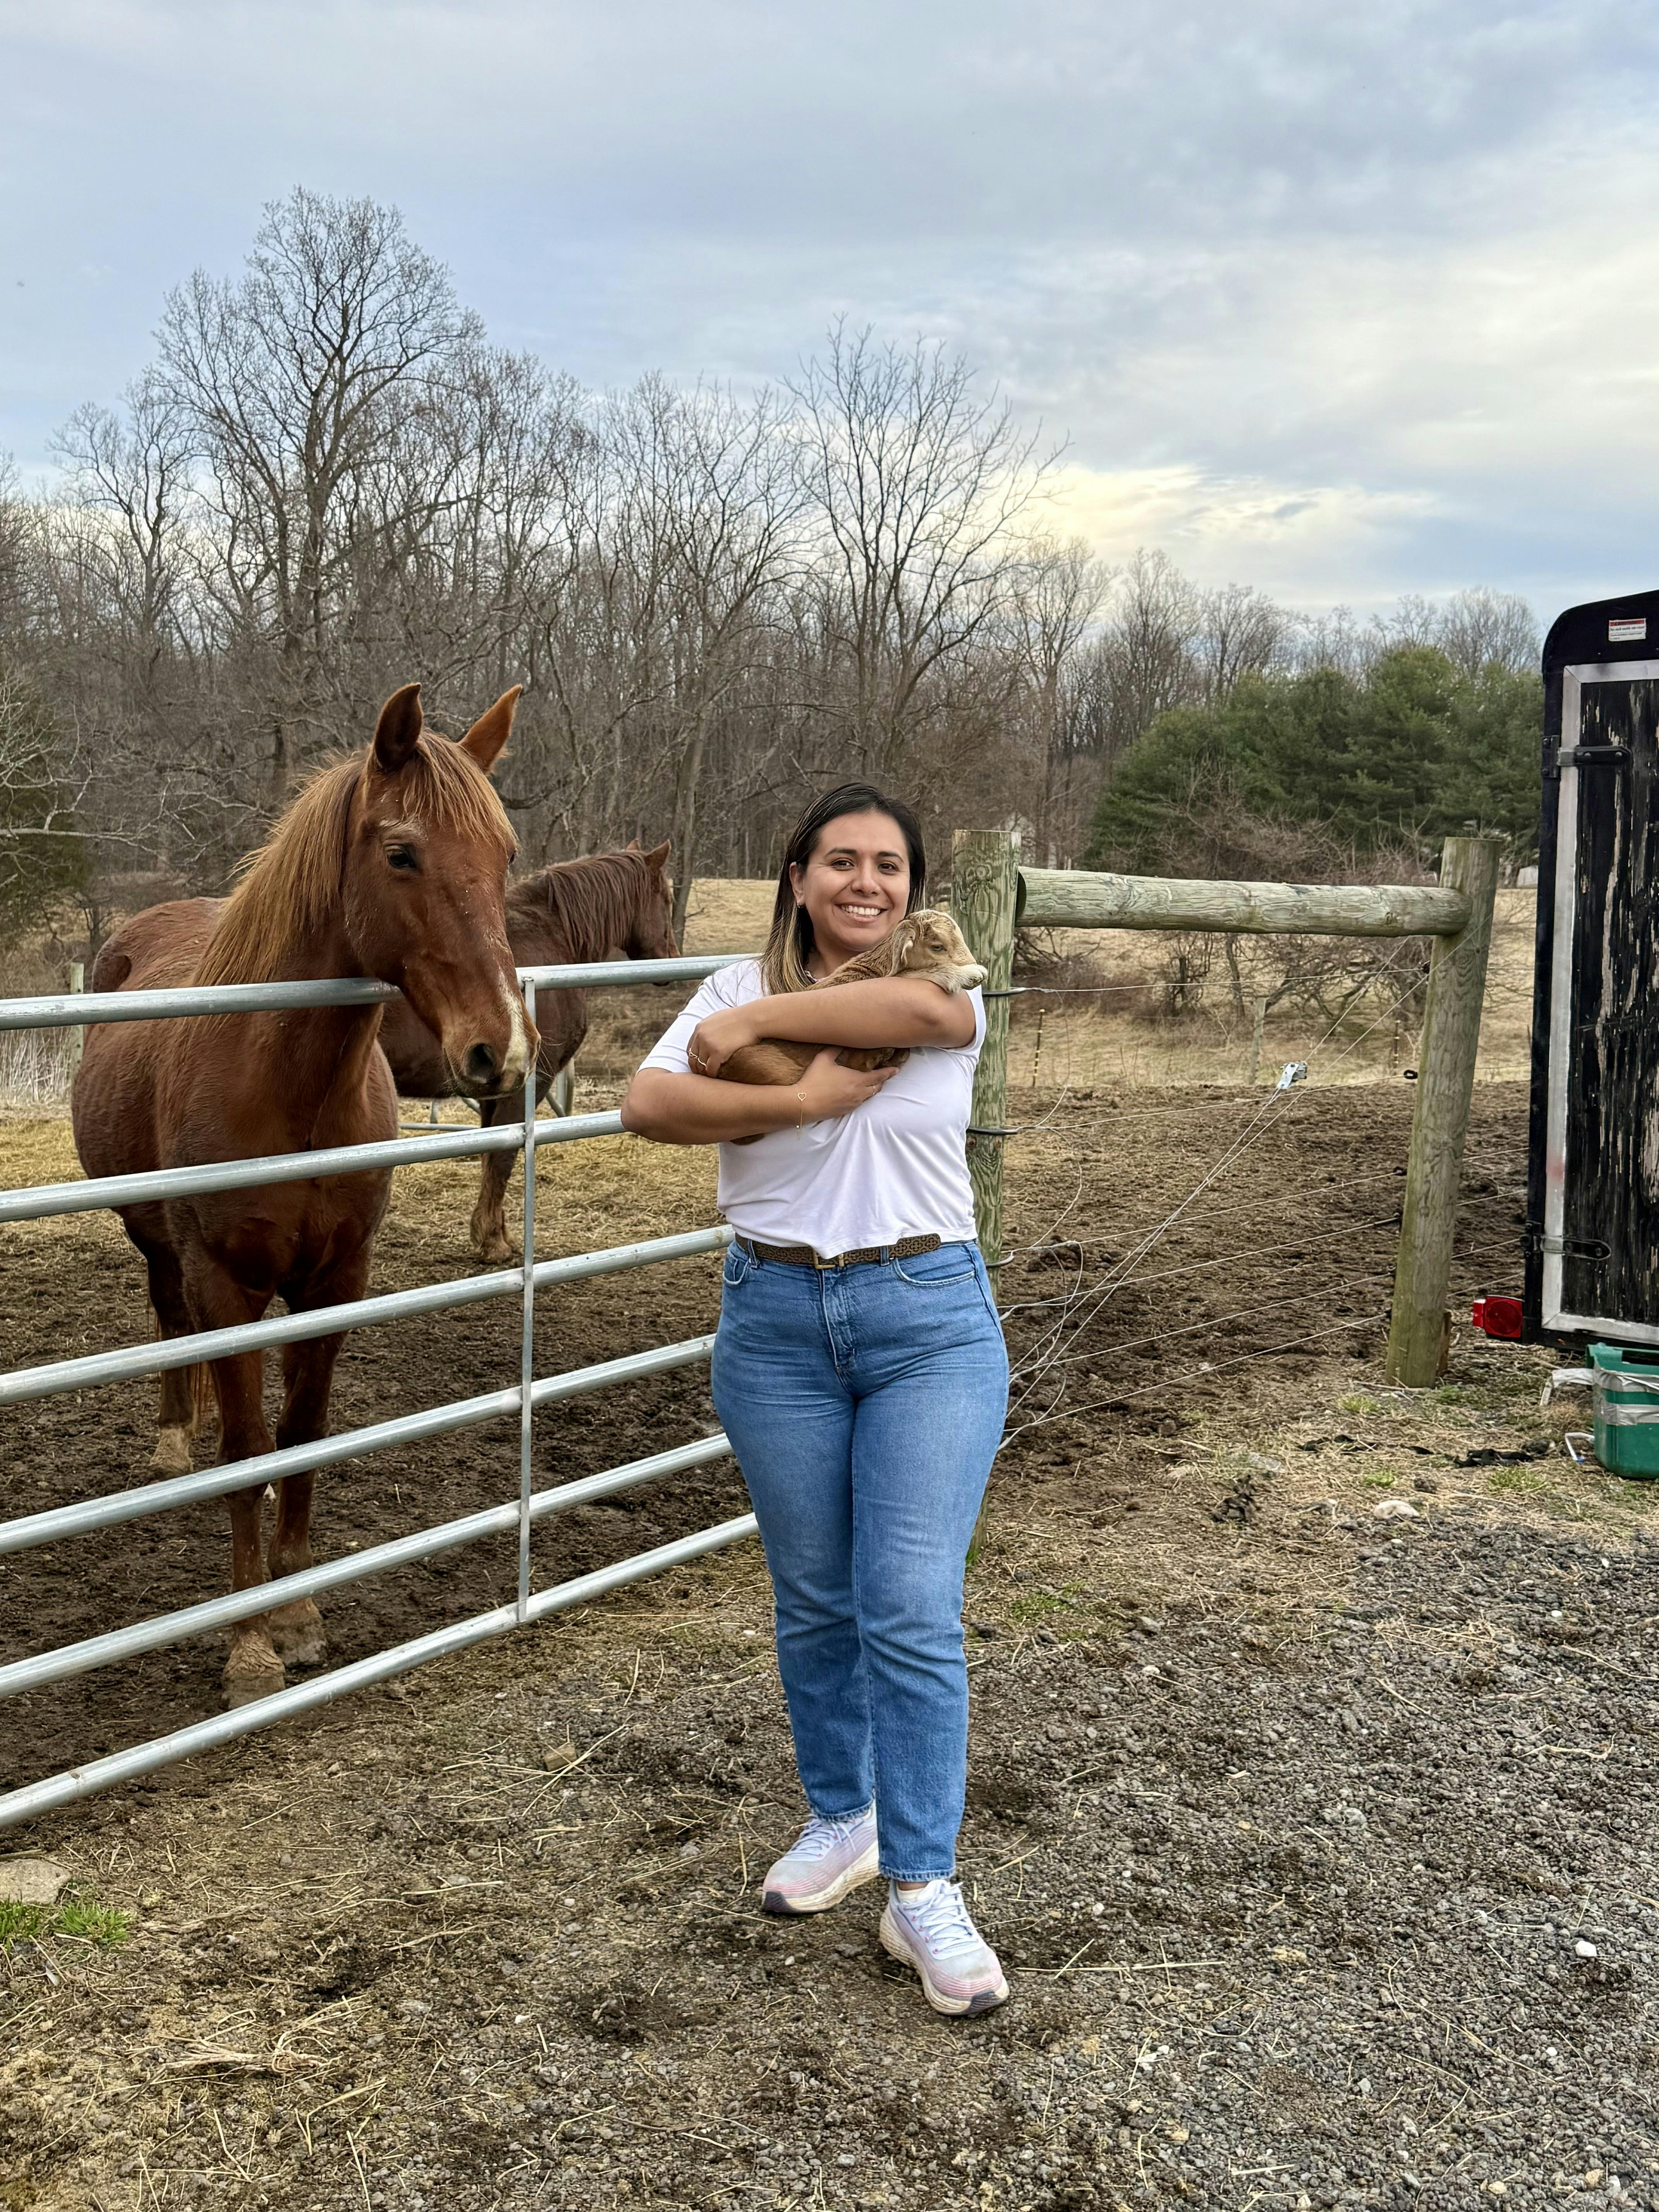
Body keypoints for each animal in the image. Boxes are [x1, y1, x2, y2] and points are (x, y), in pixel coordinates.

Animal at [71, 684, 535, 1708]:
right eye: (402, 853)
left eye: (507, 855)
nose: (502, 1049)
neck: (292, 1086)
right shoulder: (227, 1280)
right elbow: (249, 1449)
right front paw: (248, 1645)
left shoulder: (336, 1280)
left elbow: (304, 1432)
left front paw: (298, 1611)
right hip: (158, 1242)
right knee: (170, 1319)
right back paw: (175, 1436)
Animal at [378, 840, 677, 1262]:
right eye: (666, 898)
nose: (672, 955)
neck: (553, 937)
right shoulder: (529, 1083)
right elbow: (503, 1159)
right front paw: (493, 1243)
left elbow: (491, 1154)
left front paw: (497, 1234)